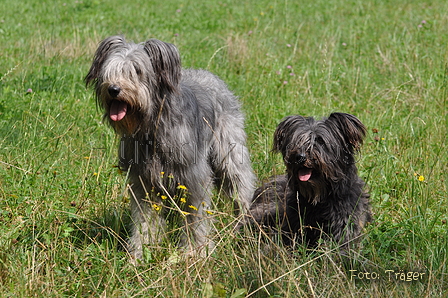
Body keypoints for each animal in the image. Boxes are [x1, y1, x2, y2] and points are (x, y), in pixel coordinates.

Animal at [85, 34, 256, 258]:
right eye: (109, 70)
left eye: (137, 71)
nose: (113, 89)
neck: (152, 129)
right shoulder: (143, 181)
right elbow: (144, 220)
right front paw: (140, 252)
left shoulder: (194, 176)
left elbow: (195, 219)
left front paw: (194, 252)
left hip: (230, 154)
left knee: (241, 185)